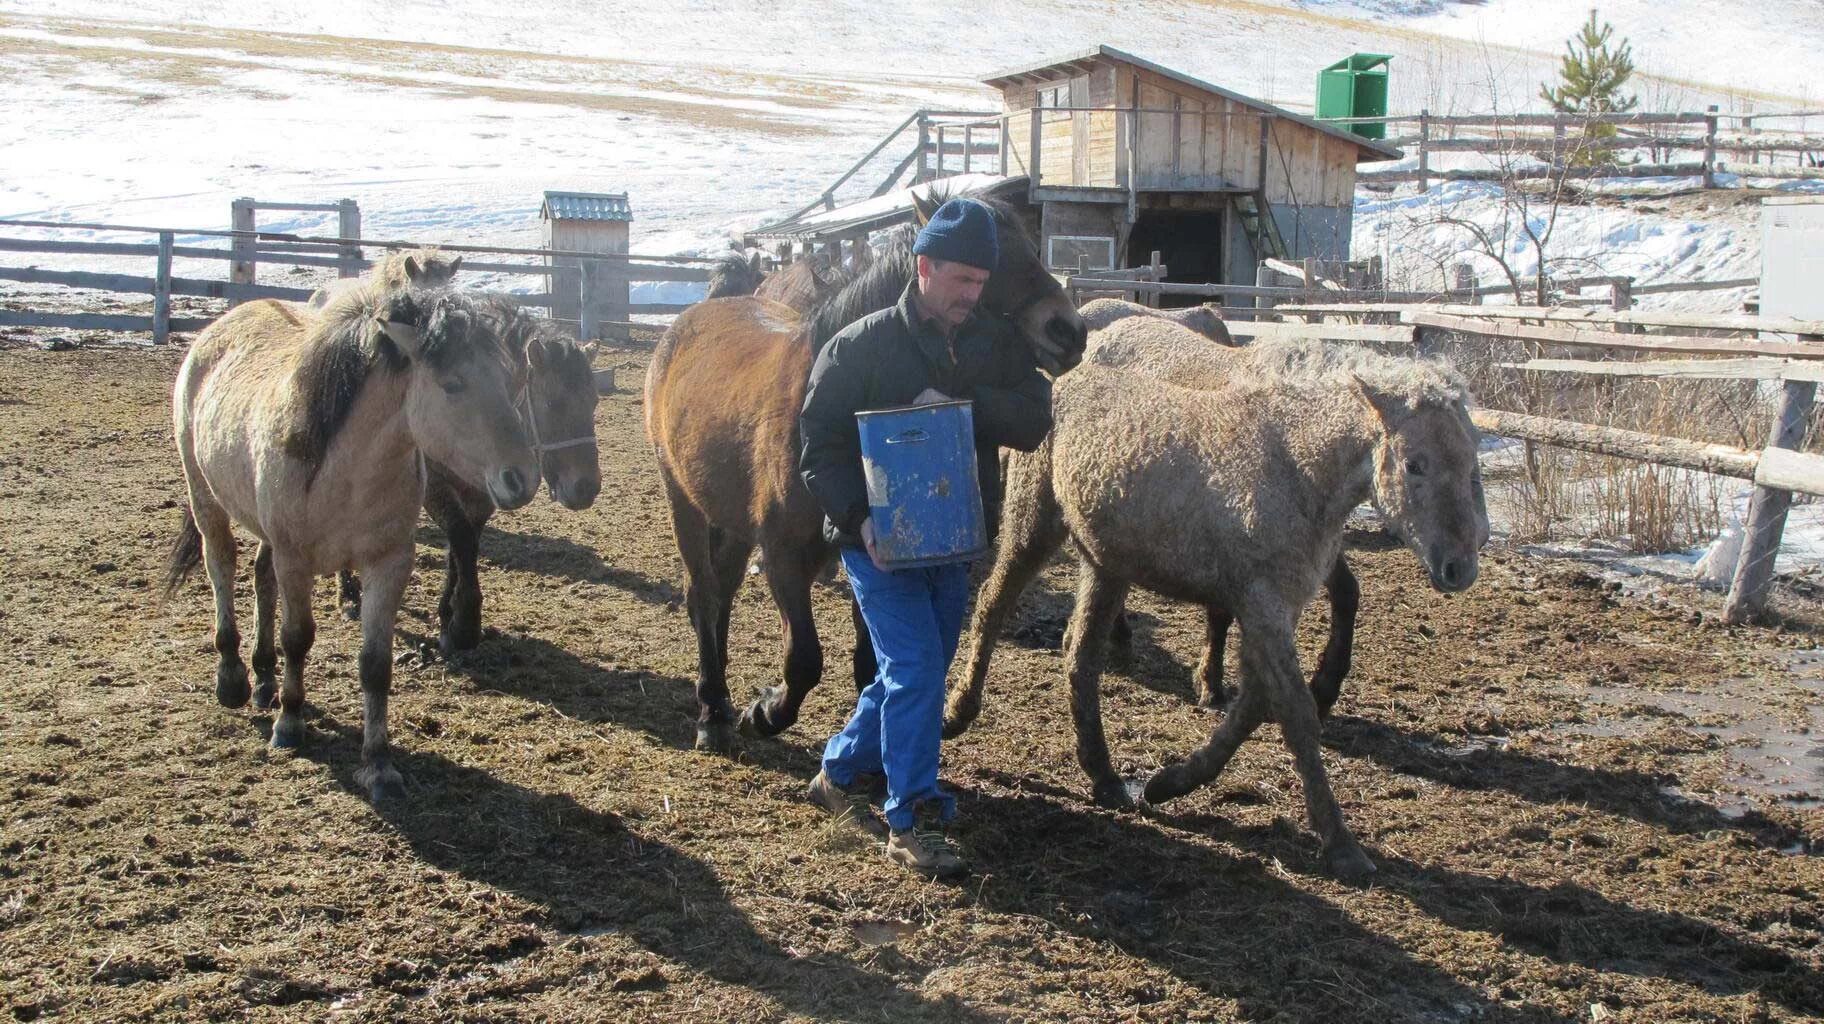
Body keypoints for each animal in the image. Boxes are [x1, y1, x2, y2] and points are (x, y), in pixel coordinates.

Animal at [165, 288, 536, 799]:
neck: (344, 470)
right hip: (206, 500)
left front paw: (377, 764)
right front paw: (290, 723)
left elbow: (375, 664)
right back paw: (234, 678)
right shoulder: (295, 561)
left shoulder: (388, 564)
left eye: (508, 380)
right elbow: (297, 639)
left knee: (261, 578)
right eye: (453, 383)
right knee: (221, 565)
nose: (522, 478)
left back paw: (263, 679)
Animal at [948, 335, 1488, 879]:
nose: (1459, 567)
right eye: (1414, 463)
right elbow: (1296, 713)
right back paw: (958, 713)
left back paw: (1104, 777)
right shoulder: (1264, 609)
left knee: (1080, 654)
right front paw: (1341, 845)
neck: (1292, 467)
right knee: (993, 606)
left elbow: (1253, 704)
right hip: (1033, 525)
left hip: (1106, 566)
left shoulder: (1272, 610)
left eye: (1471, 461)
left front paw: (1171, 782)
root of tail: (1059, 381)